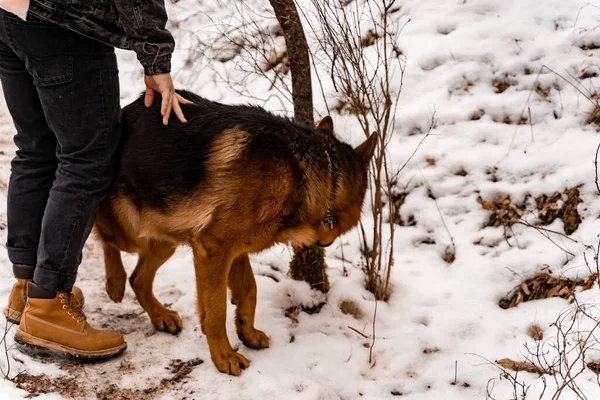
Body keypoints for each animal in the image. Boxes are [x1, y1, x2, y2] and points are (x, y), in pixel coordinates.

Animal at [93, 89, 376, 374]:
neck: (317, 175)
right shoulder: (214, 247)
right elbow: (217, 311)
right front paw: (223, 355)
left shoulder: (234, 250)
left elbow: (249, 290)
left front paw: (247, 332)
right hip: (129, 230)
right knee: (103, 234)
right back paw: (115, 281)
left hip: (167, 238)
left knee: (138, 278)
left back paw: (161, 315)